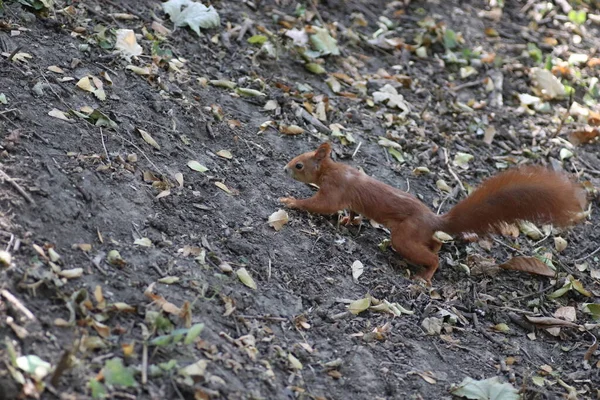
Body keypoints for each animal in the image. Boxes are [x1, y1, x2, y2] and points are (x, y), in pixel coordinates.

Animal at [280, 142, 584, 282]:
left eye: (299, 165)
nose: (284, 168)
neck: (331, 170)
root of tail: (434, 221)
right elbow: (352, 211)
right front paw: (348, 220)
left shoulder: (335, 189)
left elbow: (322, 205)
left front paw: (292, 201)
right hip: (419, 236)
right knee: (435, 245)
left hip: (404, 237)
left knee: (429, 256)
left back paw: (425, 276)